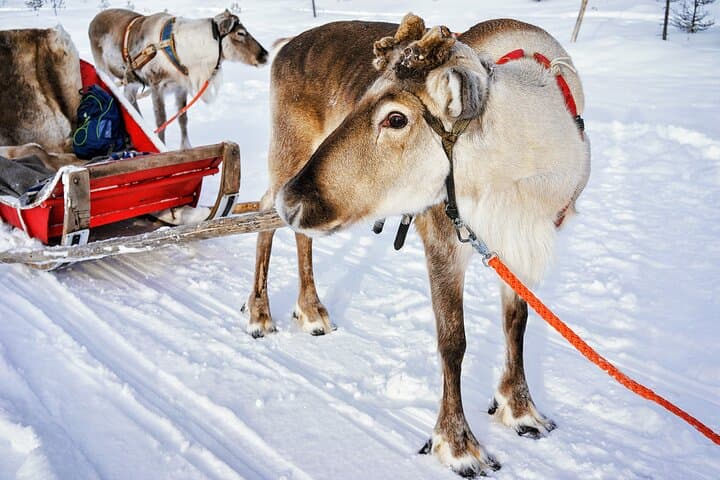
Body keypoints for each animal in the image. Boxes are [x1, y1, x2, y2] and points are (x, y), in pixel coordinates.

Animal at [89, 8, 268, 149]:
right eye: (240, 33)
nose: (265, 55)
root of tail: (93, 21)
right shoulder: (156, 85)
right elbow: (161, 121)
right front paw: (161, 146)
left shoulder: (180, 87)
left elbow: (183, 119)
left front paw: (186, 147)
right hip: (104, 70)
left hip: (131, 80)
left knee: (129, 99)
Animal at [248, 14, 590, 476]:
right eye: (364, 97)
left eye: (396, 118)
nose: (295, 200)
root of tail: (284, 45)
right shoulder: (443, 237)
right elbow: (453, 342)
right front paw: (458, 445)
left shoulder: (515, 243)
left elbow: (516, 324)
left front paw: (520, 409)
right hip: (288, 152)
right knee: (263, 209)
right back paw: (259, 313)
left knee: (295, 229)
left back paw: (312, 310)